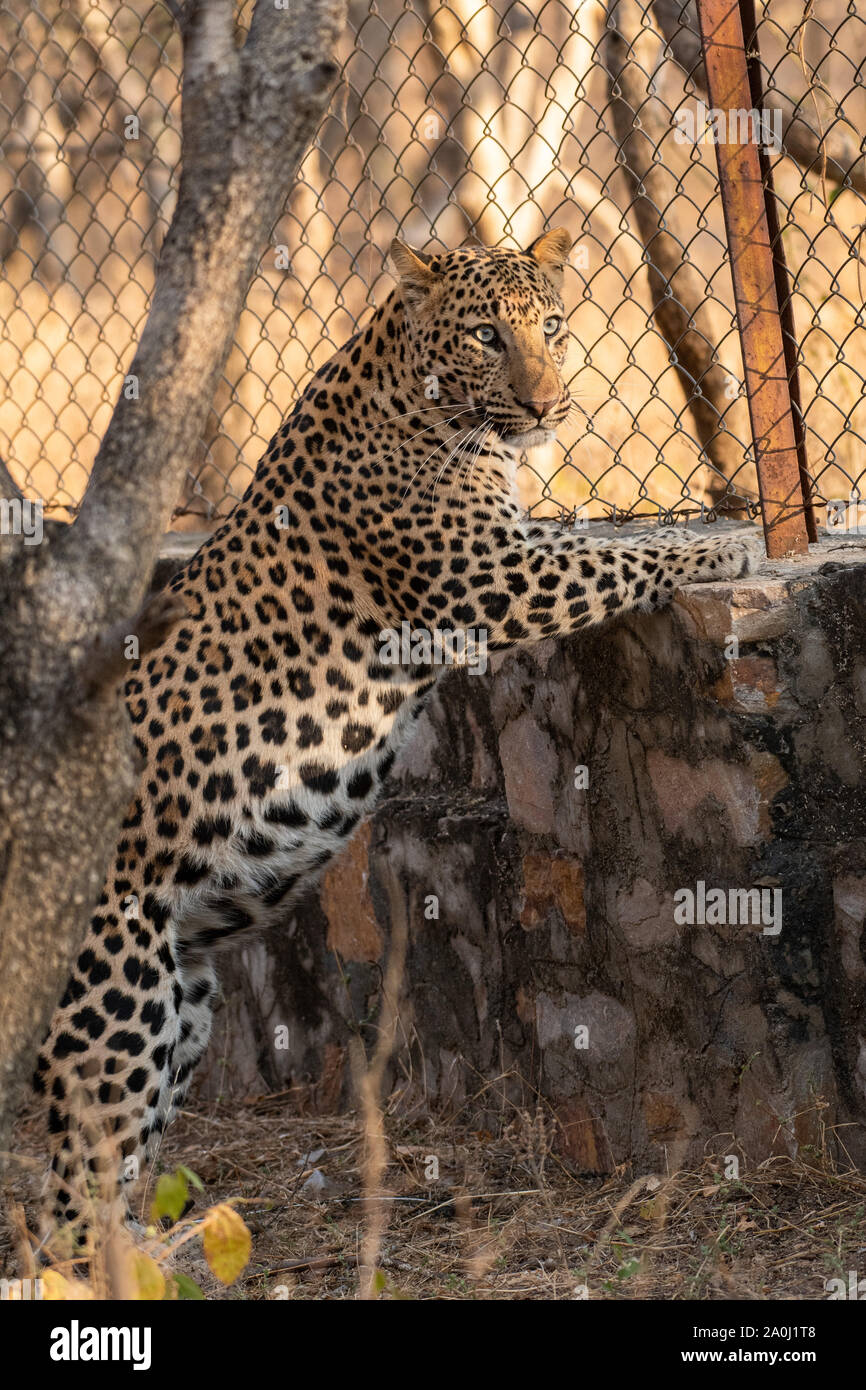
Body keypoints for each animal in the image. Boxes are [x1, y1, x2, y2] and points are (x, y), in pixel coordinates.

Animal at [35, 225, 767, 1228]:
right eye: (488, 336)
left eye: (549, 324)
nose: (548, 403)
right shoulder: (486, 575)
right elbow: (614, 557)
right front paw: (721, 543)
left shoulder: (509, 546)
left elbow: (595, 539)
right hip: (117, 1002)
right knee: (69, 1199)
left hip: (184, 998)